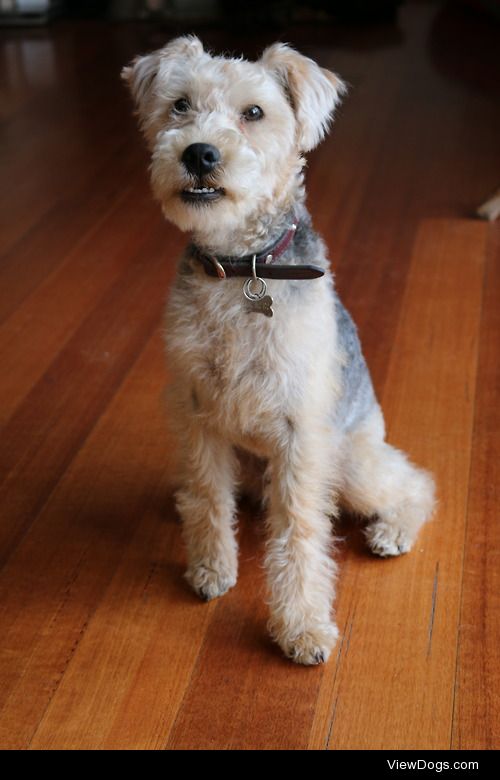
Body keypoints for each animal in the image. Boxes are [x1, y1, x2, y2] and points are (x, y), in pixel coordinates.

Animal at [123, 36, 436, 668]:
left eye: (254, 112)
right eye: (179, 104)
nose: (199, 155)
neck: (239, 269)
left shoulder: (299, 435)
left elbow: (300, 534)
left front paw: (303, 627)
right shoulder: (196, 413)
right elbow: (208, 498)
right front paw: (211, 568)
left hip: (350, 461)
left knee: (415, 482)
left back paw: (393, 531)